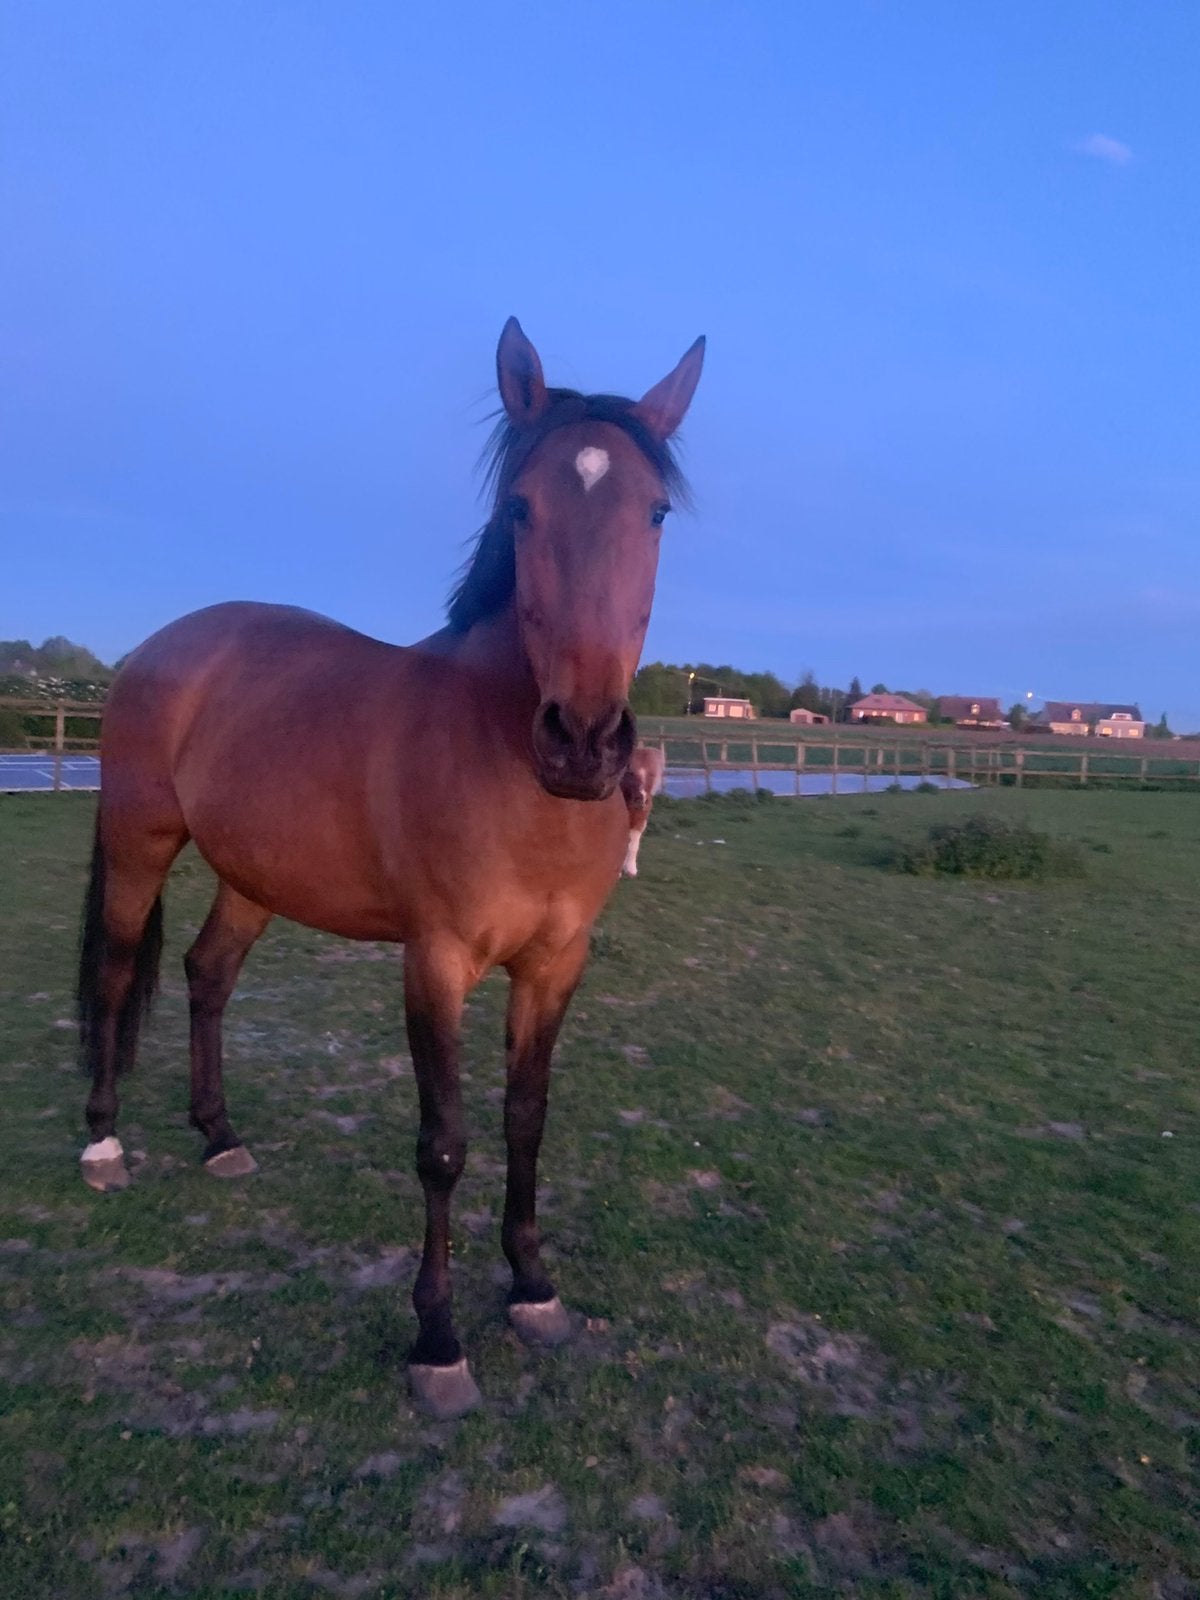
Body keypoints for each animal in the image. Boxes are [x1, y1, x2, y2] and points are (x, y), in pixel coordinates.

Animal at [620, 746, 666, 877]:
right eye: (630, 771)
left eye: (652, 775)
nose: (641, 800)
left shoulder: (640, 821)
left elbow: (633, 845)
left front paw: (631, 869)